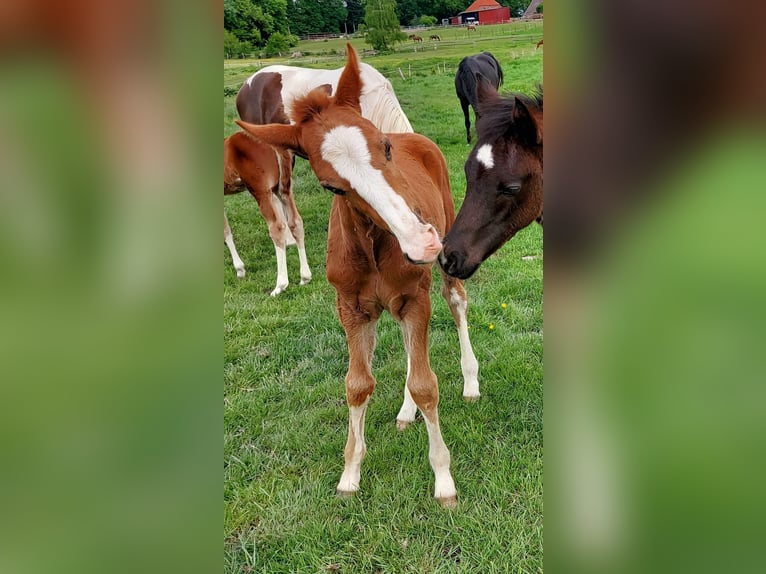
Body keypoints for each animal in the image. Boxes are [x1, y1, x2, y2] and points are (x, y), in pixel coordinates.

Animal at [225, 133, 312, 294]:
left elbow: (225, 230)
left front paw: (239, 269)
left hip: (261, 192)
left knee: (276, 228)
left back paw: (280, 285)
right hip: (283, 189)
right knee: (295, 222)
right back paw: (305, 277)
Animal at [237, 44, 484, 508]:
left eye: (384, 148)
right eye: (332, 186)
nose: (420, 241)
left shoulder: (416, 299)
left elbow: (426, 384)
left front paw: (444, 481)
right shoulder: (351, 309)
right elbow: (357, 384)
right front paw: (350, 474)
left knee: (457, 304)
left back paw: (470, 381)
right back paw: (405, 412)